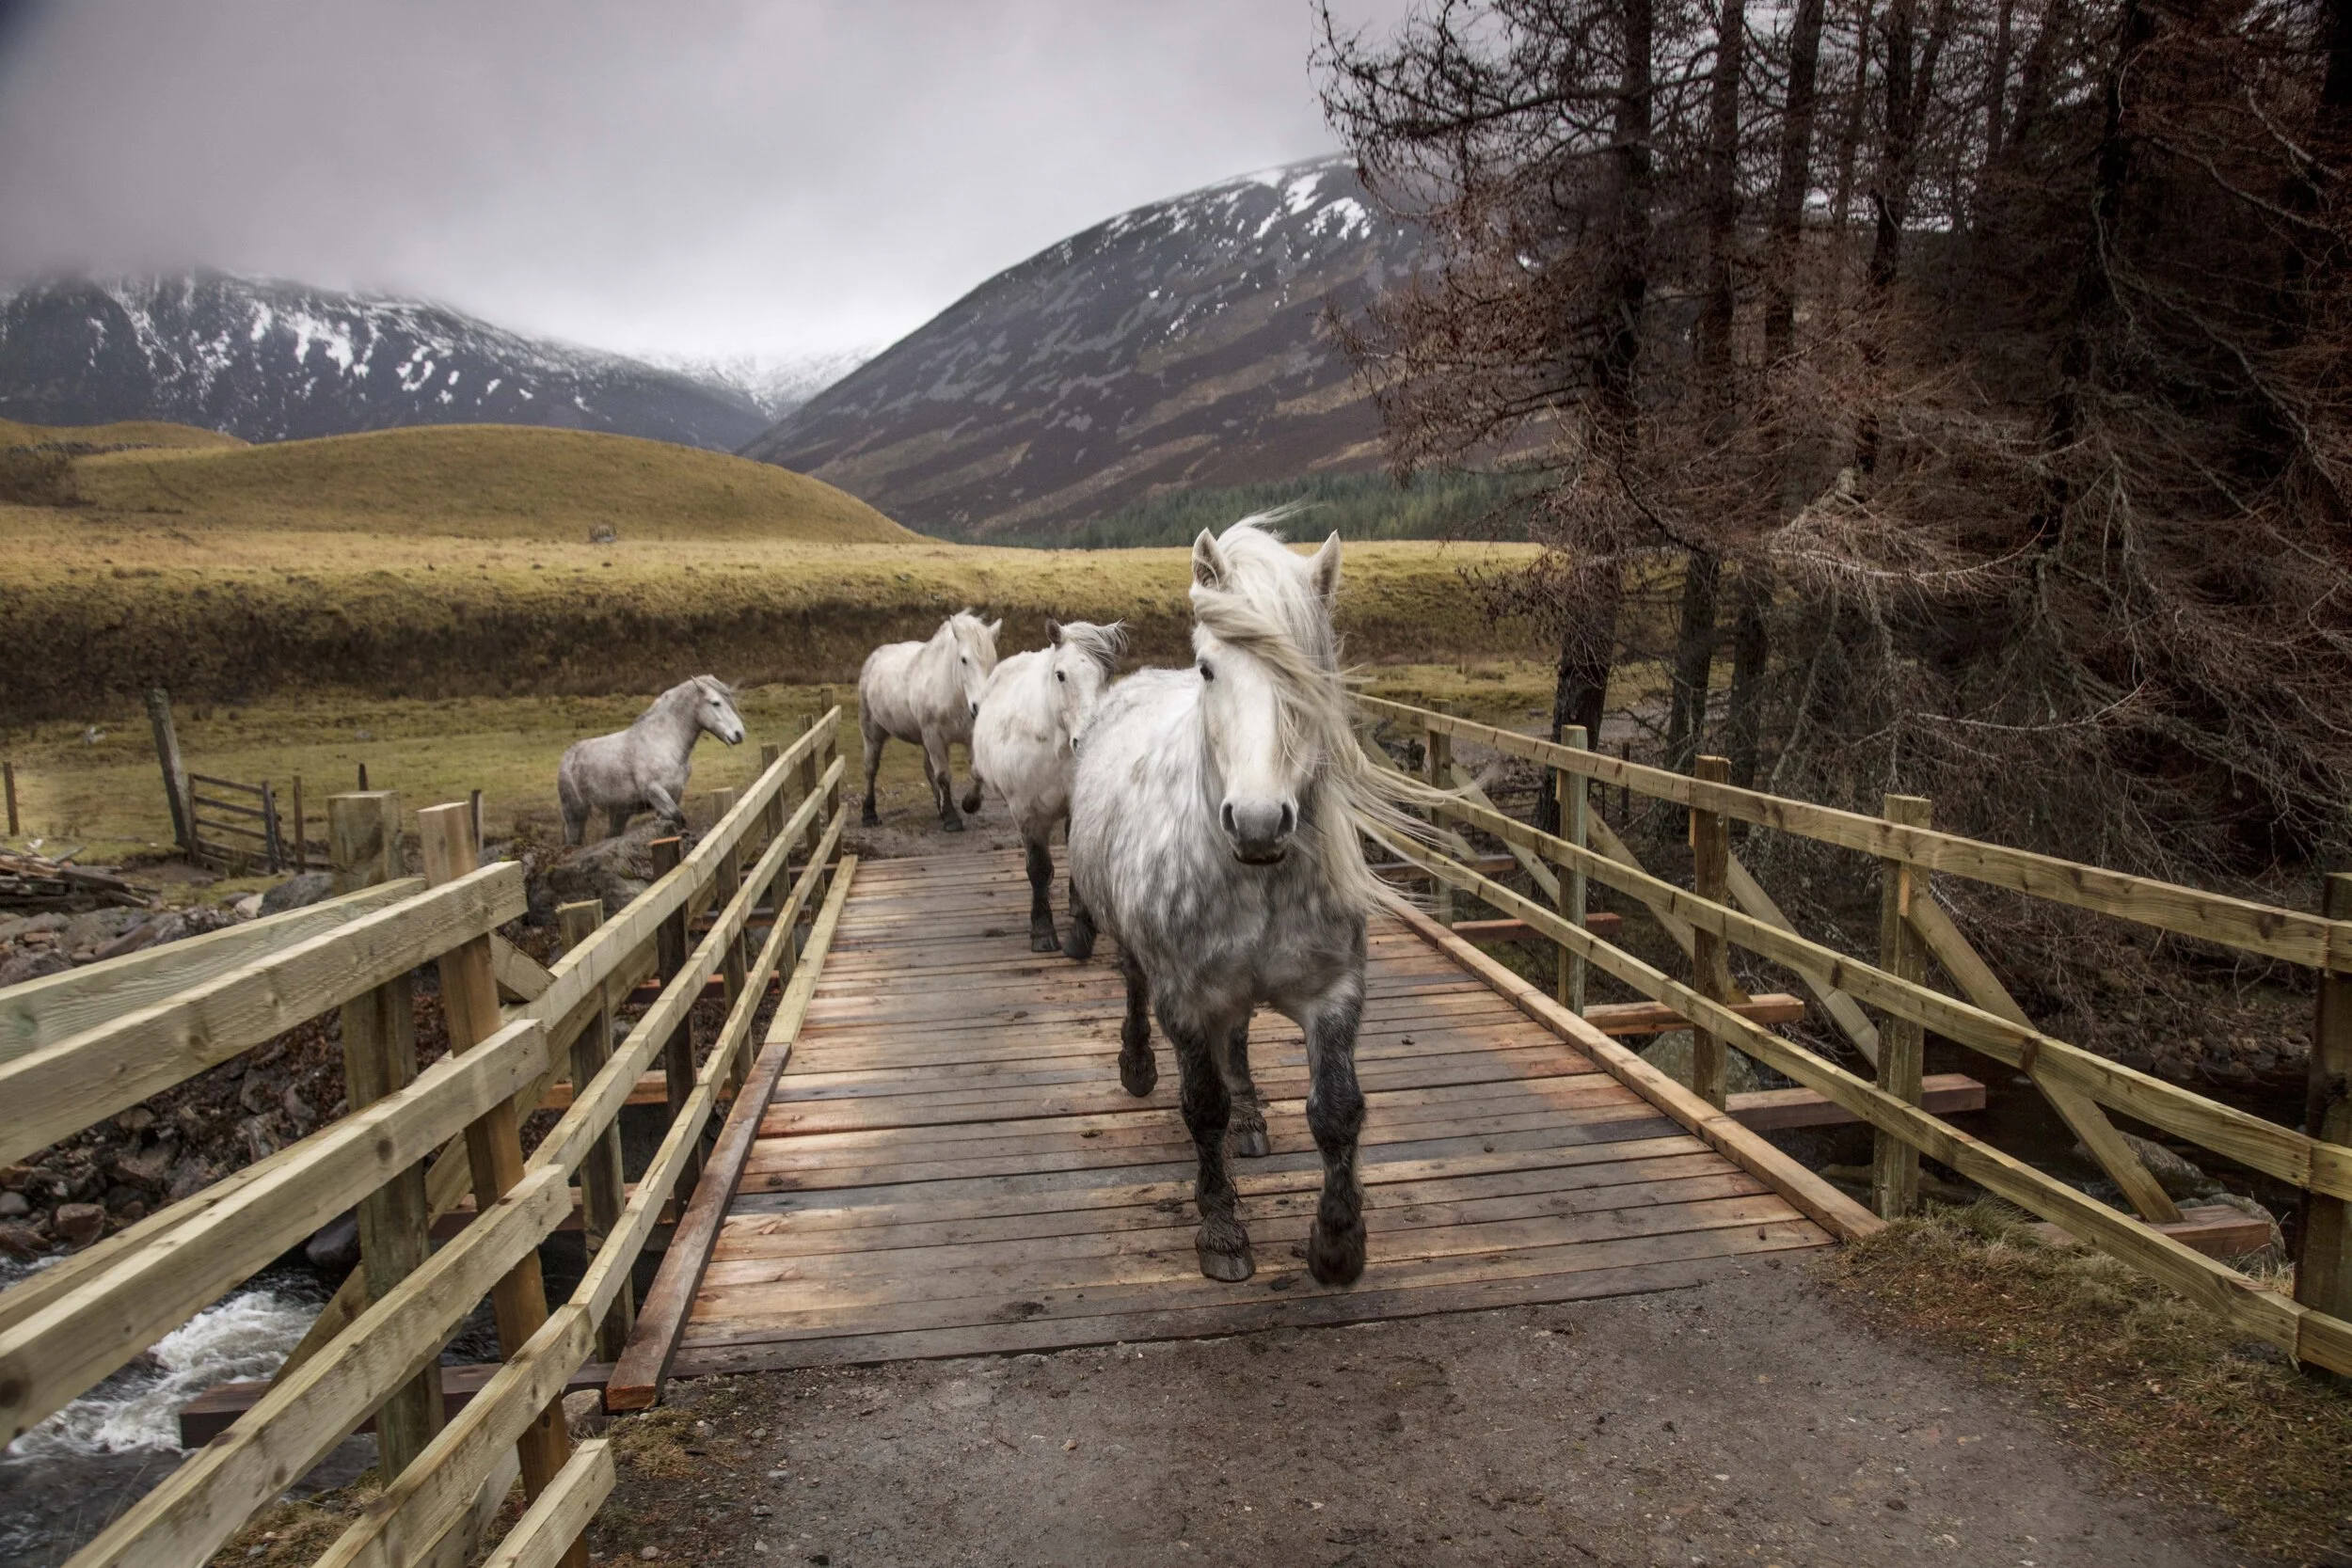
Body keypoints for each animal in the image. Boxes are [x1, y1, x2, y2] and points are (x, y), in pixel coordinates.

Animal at [557, 675, 746, 845]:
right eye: (716, 703)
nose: (739, 734)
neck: (662, 741)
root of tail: (567, 757)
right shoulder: (654, 791)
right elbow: (678, 818)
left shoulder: (674, 794)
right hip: (575, 815)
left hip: (619, 814)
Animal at [858, 611, 1002, 831]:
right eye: (964, 660)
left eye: (992, 660)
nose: (979, 705)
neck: (953, 695)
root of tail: (874, 657)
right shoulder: (934, 736)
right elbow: (943, 775)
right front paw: (951, 818)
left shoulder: (967, 737)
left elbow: (976, 772)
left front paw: (969, 803)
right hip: (872, 732)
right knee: (870, 769)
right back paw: (869, 813)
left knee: (927, 769)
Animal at [969, 618, 1125, 953]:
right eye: (1061, 675)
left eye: (1107, 674)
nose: (1087, 738)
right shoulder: (1026, 812)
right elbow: (1039, 869)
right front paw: (1042, 931)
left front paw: (1081, 931)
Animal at [1066, 516, 1423, 1286]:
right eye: (1209, 669)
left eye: (1309, 672)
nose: (1259, 822)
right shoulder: (1184, 999)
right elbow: (1203, 1107)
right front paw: (1222, 1230)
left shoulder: (1334, 992)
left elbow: (1337, 1110)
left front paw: (1338, 1243)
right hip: (1137, 952)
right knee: (1135, 988)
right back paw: (1137, 1066)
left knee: (1239, 1035)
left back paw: (1254, 1119)